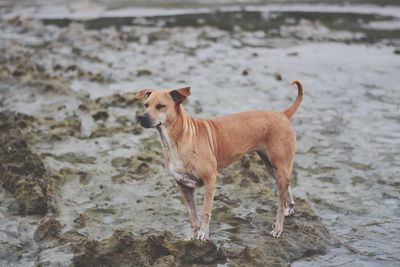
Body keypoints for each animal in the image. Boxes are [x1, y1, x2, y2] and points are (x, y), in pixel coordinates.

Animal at [135, 81, 304, 241]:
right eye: (146, 105)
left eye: (161, 106)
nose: (141, 117)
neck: (179, 138)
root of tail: (282, 114)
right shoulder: (184, 186)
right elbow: (192, 216)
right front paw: (192, 237)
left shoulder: (210, 181)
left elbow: (205, 212)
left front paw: (203, 234)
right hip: (271, 166)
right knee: (286, 188)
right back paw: (290, 207)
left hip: (280, 166)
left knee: (280, 203)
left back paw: (278, 228)